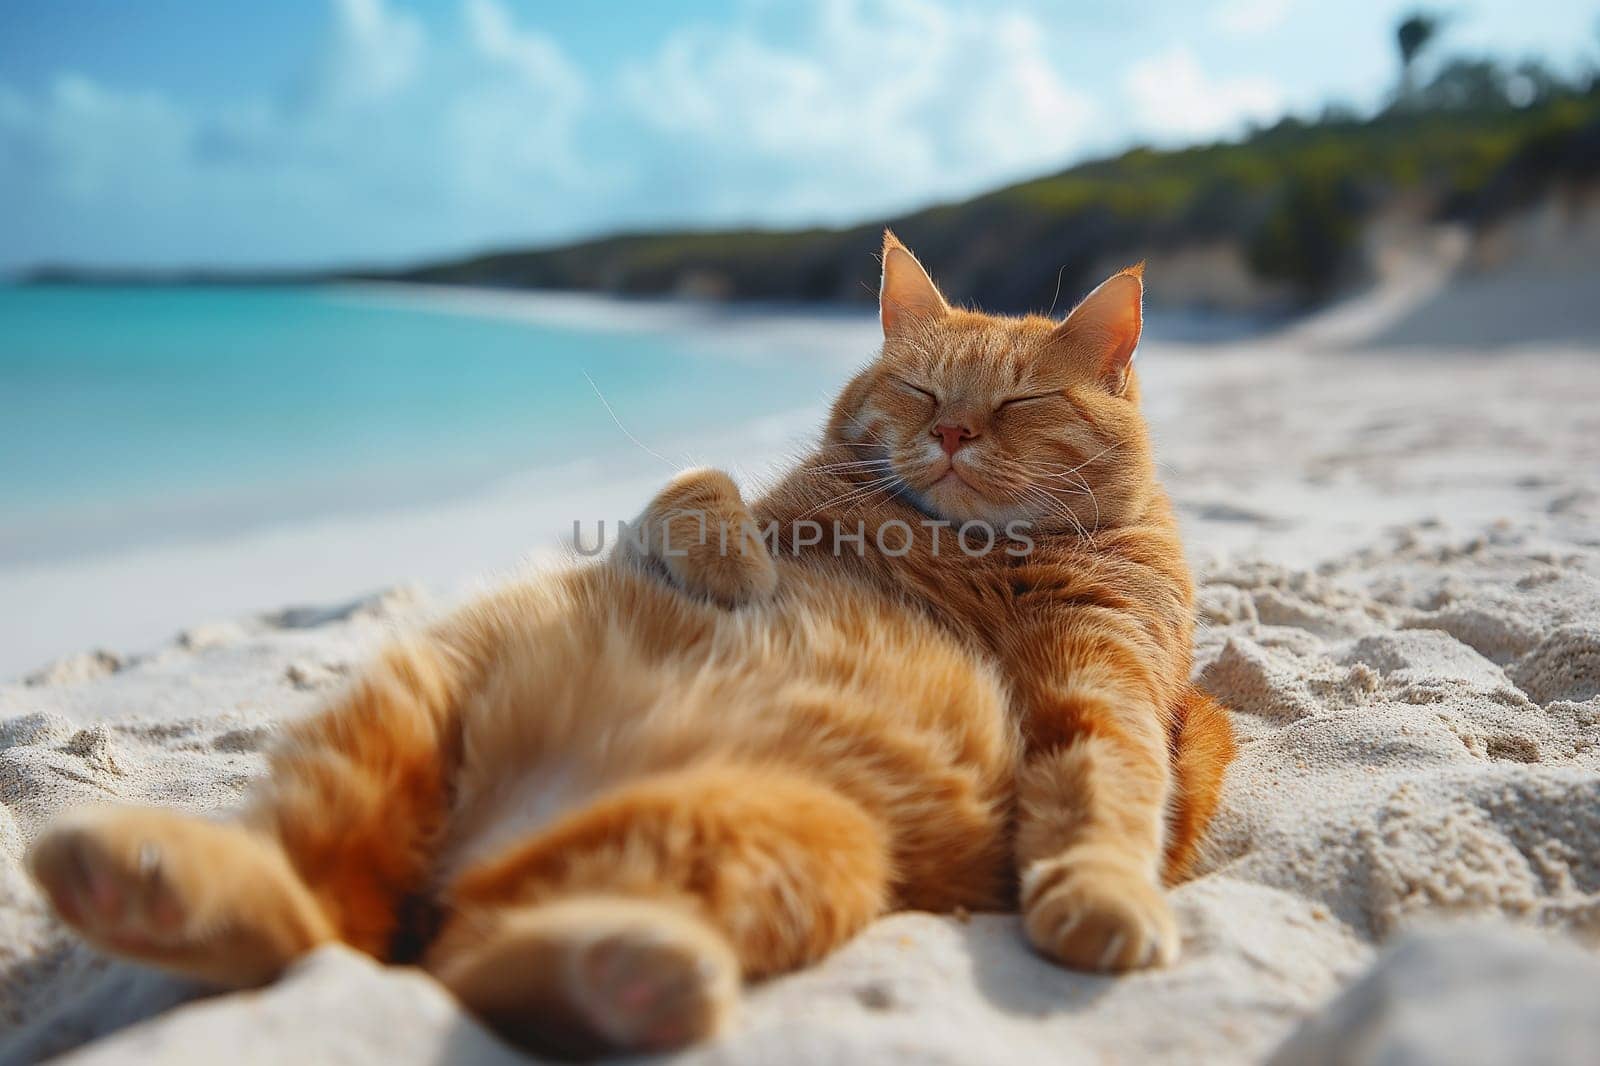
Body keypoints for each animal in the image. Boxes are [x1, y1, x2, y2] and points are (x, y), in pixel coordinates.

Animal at [31, 230, 1241, 1056]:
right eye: (918, 387)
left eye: (1023, 403)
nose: (948, 432)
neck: (958, 548)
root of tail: (492, 836)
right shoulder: (683, 510)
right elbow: (700, 491)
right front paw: (740, 568)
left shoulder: (1106, 693)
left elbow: (1106, 792)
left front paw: (1105, 895)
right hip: (419, 699)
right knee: (323, 913)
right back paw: (132, 879)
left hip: (803, 841)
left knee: (437, 959)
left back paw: (634, 978)